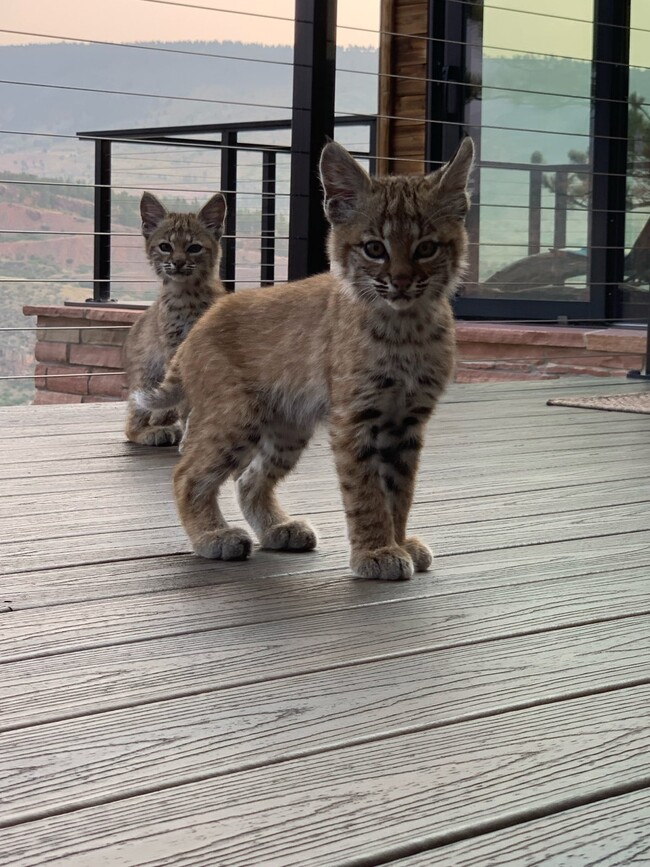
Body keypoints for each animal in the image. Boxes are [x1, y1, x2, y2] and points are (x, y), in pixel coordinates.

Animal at [123, 192, 227, 448]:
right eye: (165, 247)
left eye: (194, 248)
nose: (178, 262)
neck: (187, 293)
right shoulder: (174, 347)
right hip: (148, 375)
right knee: (131, 424)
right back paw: (153, 431)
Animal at [138, 139, 470, 580]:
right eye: (375, 249)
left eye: (427, 248)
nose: (400, 282)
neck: (405, 326)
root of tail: (204, 319)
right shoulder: (357, 417)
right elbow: (365, 491)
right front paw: (377, 551)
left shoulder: (407, 420)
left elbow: (400, 490)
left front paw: (397, 542)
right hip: (235, 414)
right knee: (185, 473)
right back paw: (213, 537)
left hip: (287, 424)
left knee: (248, 479)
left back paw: (277, 528)